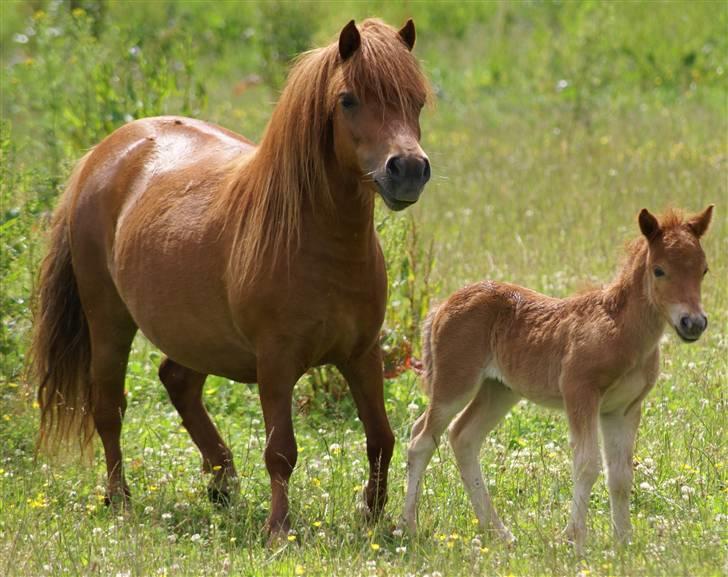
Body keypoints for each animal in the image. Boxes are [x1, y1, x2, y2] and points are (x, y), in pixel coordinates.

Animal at [34, 19, 430, 536]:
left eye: (418, 100)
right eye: (348, 99)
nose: (408, 170)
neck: (318, 240)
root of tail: (105, 153)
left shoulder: (361, 354)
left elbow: (380, 437)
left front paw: (372, 515)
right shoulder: (276, 362)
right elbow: (281, 450)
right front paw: (279, 530)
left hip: (197, 333)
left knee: (177, 381)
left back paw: (222, 482)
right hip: (108, 320)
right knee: (109, 408)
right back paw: (120, 500)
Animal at [406, 207, 712, 552]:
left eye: (703, 270)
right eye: (659, 270)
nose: (693, 323)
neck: (622, 331)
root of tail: (442, 305)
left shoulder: (623, 409)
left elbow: (620, 476)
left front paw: (624, 543)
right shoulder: (579, 392)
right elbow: (587, 464)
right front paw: (574, 539)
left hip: (499, 390)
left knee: (463, 437)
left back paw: (499, 532)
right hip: (455, 383)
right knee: (421, 440)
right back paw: (408, 527)